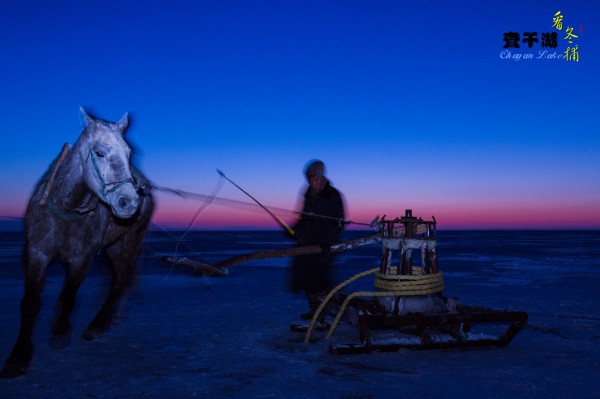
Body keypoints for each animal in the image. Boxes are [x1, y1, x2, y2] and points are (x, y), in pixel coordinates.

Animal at [1, 108, 155, 378]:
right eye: (99, 153)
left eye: (129, 154)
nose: (129, 202)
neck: (64, 209)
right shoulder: (37, 253)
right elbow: (31, 302)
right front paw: (18, 356)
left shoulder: (80, 259)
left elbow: (69, 296)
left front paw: (61, 331)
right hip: (113, 247)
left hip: (130, 241)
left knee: (119, 281)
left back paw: (97, 325)